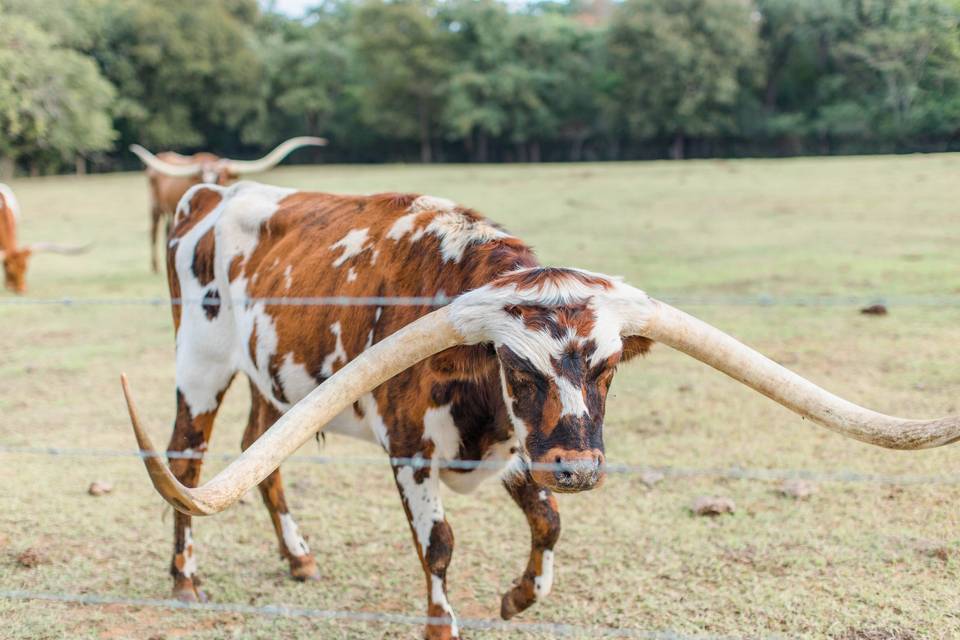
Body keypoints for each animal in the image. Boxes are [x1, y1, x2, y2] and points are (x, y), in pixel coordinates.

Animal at [120, 181, 960, 640]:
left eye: (611, 366)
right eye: (516, 368)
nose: (581, 469)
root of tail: (211, 192)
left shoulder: (524, 449)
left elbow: (548, 523)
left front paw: (518, 597)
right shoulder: (411, 449)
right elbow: (440, 546)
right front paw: (444, 626)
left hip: (272, 380)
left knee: (263, 458)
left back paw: (297, 558)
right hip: (200, 363)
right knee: (187, 455)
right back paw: (184, 577)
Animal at [129, 136, 328, 272]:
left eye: (222, 176)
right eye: (201, 176)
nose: (213, 187)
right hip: (155, 206)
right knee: (154, 231)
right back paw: (155, 267)